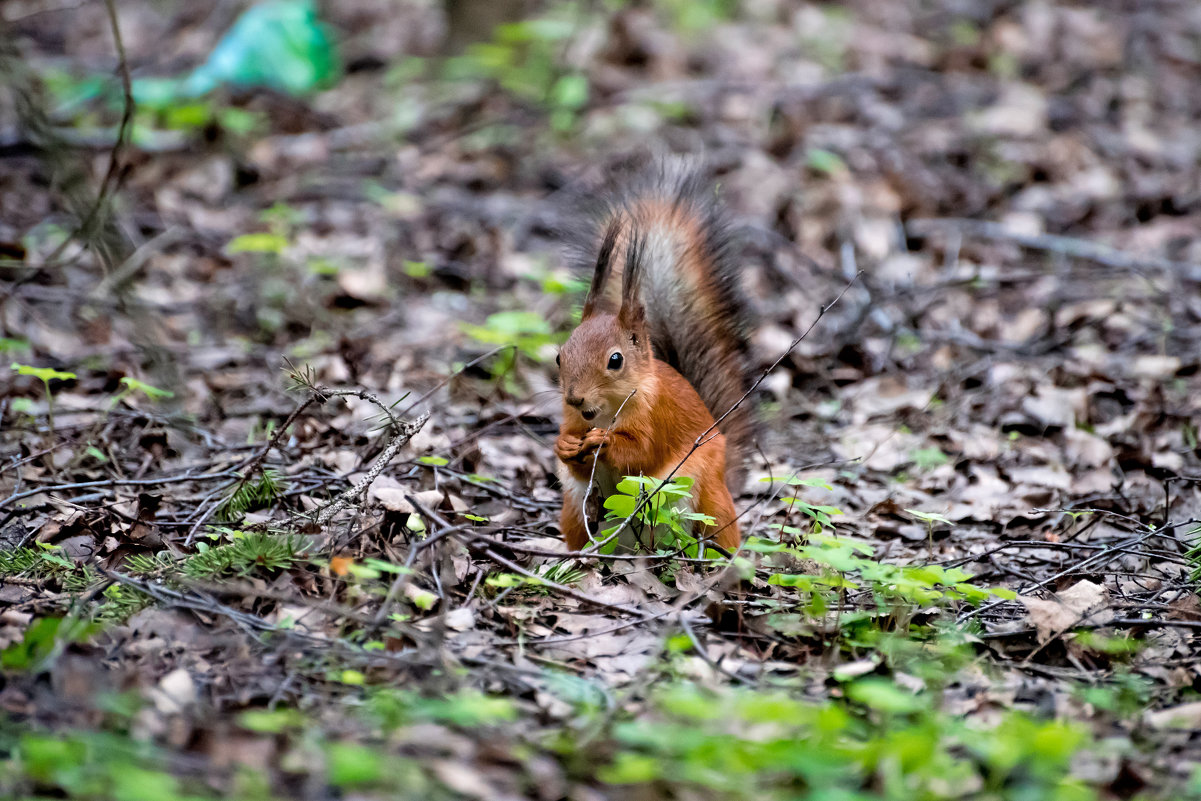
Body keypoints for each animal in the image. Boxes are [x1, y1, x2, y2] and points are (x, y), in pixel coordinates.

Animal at [552, 168, 749, 552]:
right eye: (559, 356)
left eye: (615, 360)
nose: (574, 397)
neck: (606, 411)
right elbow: (576, 460)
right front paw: (565, 445)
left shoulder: (658, 416)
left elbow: (641, 454)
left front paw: (604, 442)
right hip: (575, 511)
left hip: (709, 502)